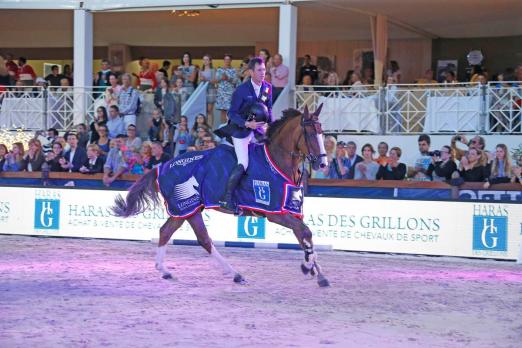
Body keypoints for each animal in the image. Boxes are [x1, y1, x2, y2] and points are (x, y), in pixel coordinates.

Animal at [110, 104, 330, 286]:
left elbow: (305, 236)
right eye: (310, 133)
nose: (323, 164)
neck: (277, 161)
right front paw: (308, 268)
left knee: (176, 234)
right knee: (195, 238)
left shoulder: (291, 211)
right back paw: (233, 273)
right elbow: (305, 233)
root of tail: (161, 167)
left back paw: (168, 271)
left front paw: (317, 273)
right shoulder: (275, 212)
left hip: (187, 210)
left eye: (322, 132)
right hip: (185, 208)